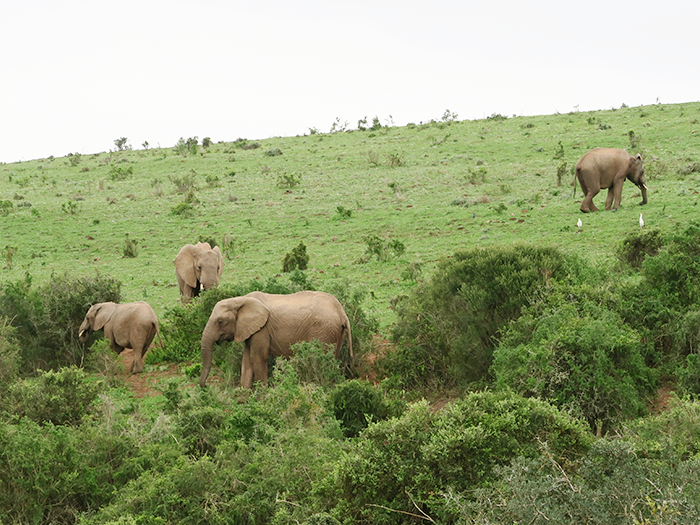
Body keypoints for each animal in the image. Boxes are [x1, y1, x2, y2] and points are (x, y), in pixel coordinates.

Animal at [200, 288, 352, 386]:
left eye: (220, 321)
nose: (205, 386)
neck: (240, 300)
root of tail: (342, 312)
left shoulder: (262, 328)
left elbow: (257, 358)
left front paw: (261, 400)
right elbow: (246, 360)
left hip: (323, 331)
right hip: (334, 331)